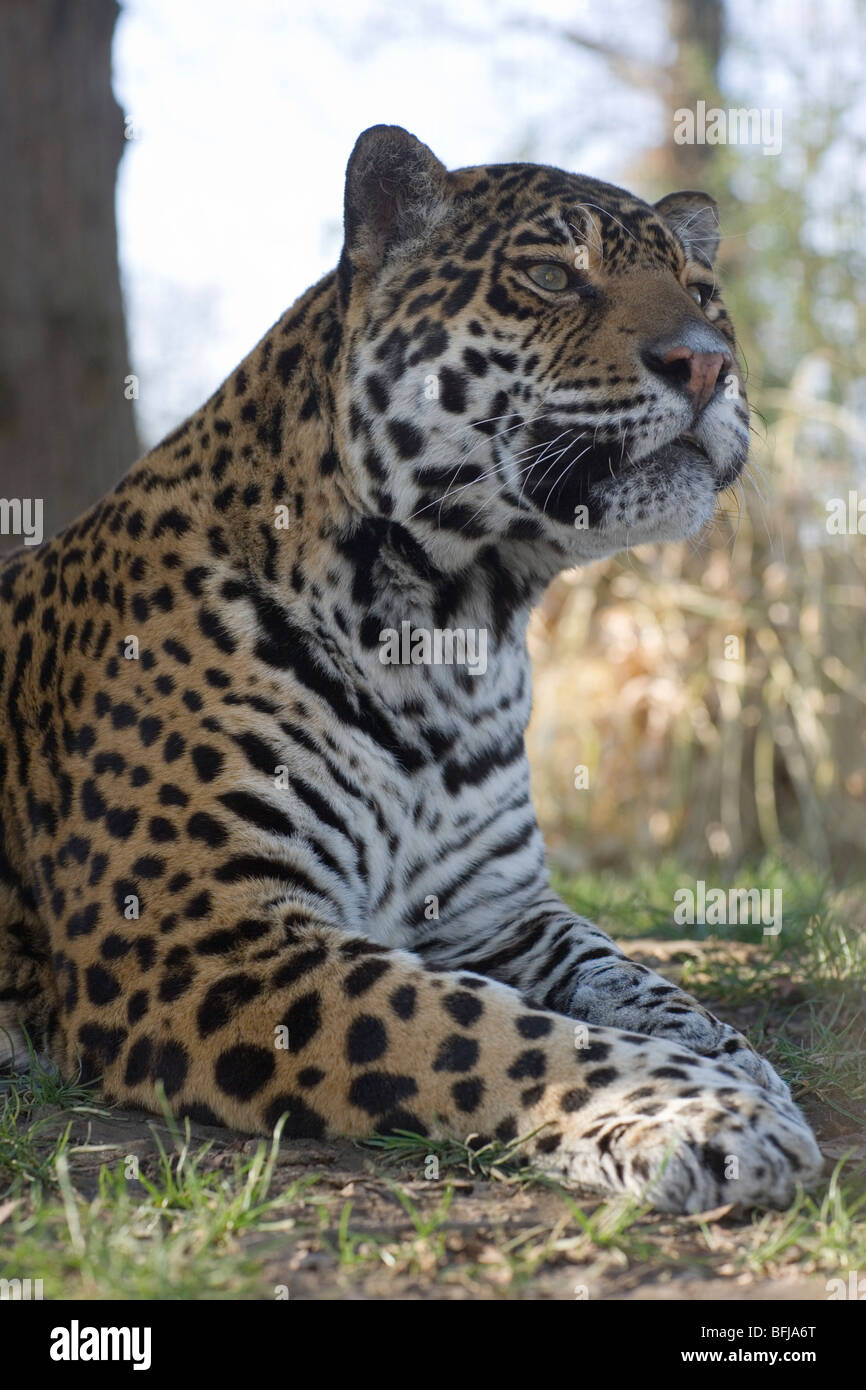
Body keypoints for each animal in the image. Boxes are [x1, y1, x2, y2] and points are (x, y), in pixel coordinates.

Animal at [0, 124, 821, 1214]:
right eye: (551, 276)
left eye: (701, 290)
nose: (707, 364)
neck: (456, 636)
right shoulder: (196, 936)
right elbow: (485, 1028)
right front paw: (707, 1109)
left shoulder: (497, 912)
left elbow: (624, 971)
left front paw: (733, 1057)